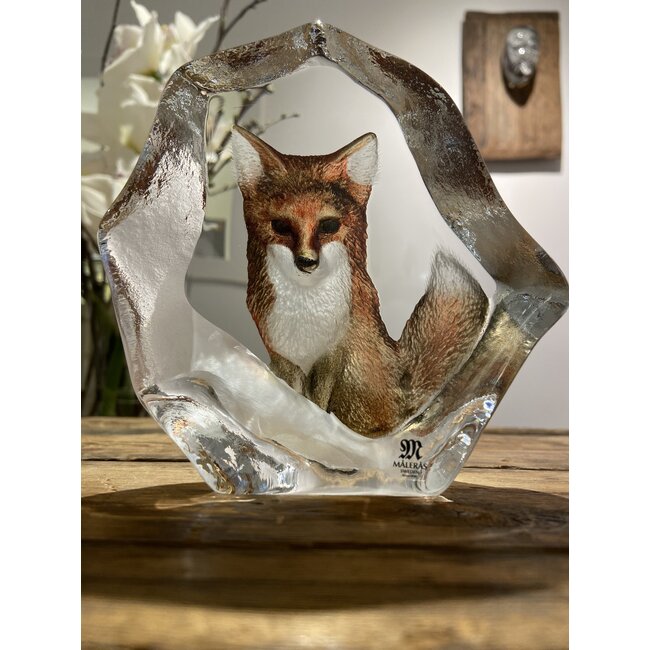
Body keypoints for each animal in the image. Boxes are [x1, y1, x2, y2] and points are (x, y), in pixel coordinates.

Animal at [230, 125, 490, 438]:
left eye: (329, 225)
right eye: (280, 226)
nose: (307, 262)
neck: (305, 310)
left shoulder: (335, 351)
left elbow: (317, 401)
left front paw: (315, 428)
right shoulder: (279, 351)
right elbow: (292, 394)